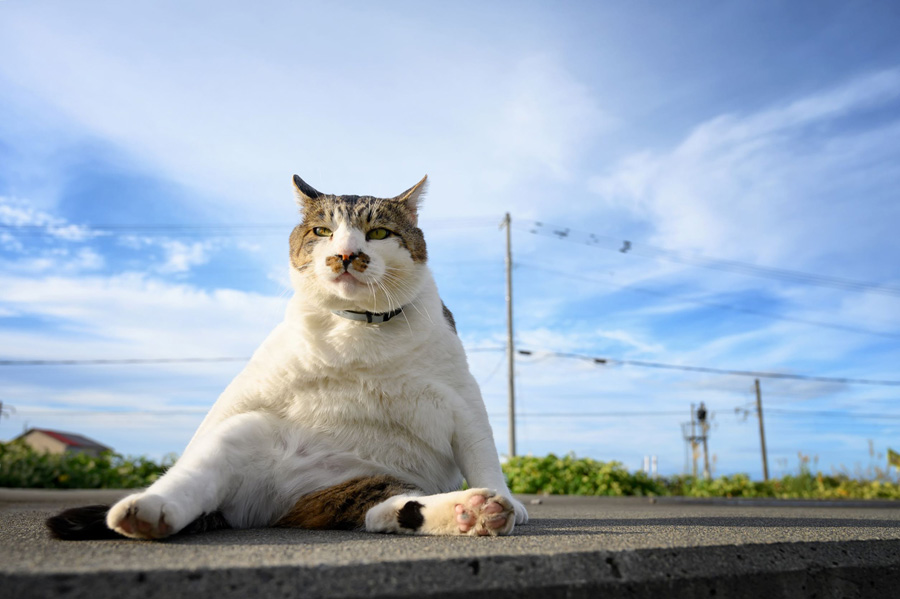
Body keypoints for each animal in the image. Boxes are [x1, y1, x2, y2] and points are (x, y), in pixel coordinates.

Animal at [47, 175, 528, 544]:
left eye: (378, 234)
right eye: (322, 232)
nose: (346, 255)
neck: (361, 329)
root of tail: (281, 508)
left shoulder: (462, 396)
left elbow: (483, 453)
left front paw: (508, 499)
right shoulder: (257, 381)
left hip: (365, 482)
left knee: (384, 509)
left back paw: (475, 510)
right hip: (244, 430)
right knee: (195, 472)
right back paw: (147, 511)